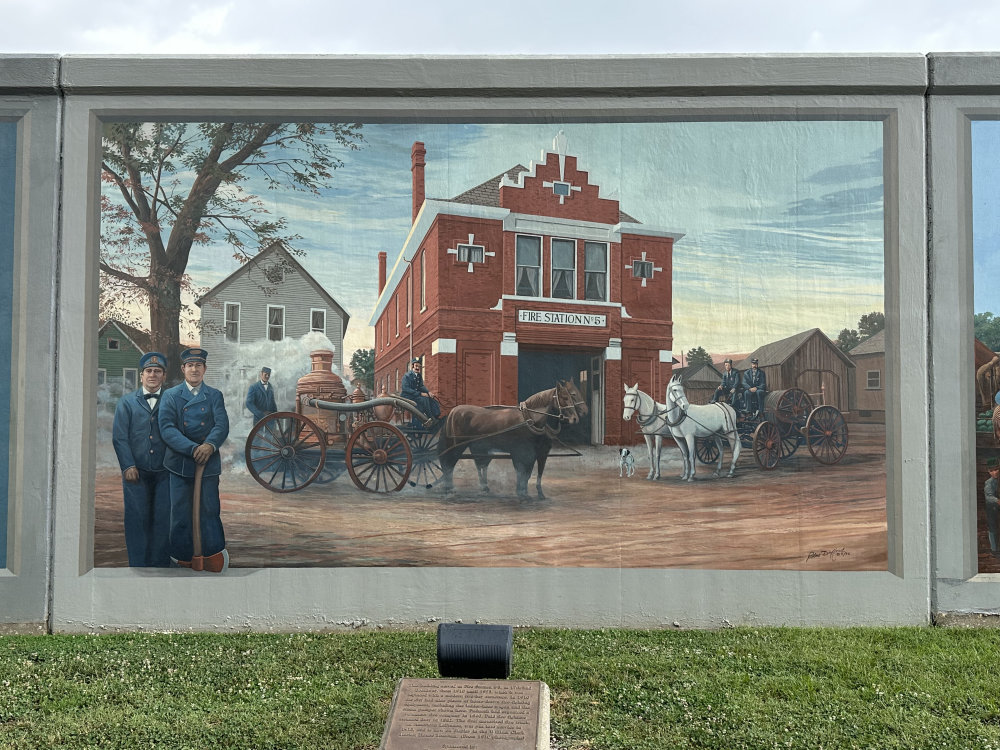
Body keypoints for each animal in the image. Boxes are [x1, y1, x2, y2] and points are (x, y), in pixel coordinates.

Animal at [438, 382, 584, 500]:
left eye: (571, 397)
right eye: (565, 398)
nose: (575, 418)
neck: (529, 419)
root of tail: (453, 411)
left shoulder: (535, 454)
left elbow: (528, 473)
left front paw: (530, 492)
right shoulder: (520, 453)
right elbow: (522, 472)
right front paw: (522, 492)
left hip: (477, 447)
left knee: (475, 464)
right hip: (457, 446)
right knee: (449, 464)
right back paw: (449, 489)